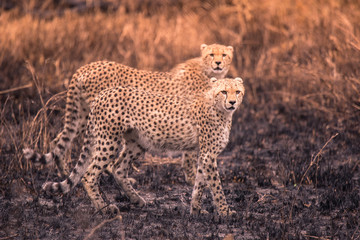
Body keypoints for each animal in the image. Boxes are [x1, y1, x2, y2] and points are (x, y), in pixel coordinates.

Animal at [23, 44, 235, 184]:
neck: (207, 73)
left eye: (224, 55)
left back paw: (64, 172)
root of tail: (87, 66)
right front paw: (191, 179)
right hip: (106, 121)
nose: (218, 63)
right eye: (211, 54)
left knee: (59, 139)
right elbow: (190, 155)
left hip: (83, 116)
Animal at [41, 77, 245, 216]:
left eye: (237, 91)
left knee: (118, 168)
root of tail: (103, 93)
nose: (232, 102)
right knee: (89, 174)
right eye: (224, 92)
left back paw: (137, 200)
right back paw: (105, 208)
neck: (220, 109)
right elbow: (216, 186)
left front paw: (196, 210)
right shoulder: (208, 155)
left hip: (137, 142)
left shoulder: (205, 154)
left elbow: (200, 184)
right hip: (109, 141)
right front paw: (226, 212)